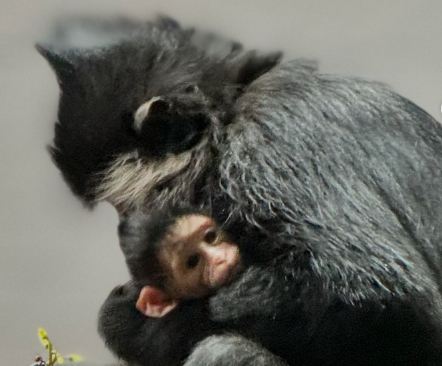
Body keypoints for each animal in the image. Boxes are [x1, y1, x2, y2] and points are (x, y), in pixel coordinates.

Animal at [38, 17, 442, 366]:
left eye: (126, 206)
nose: (127, 223)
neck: (229, 114)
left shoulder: (264, 151)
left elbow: (392, 303)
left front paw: (137, 325)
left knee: (225, 350)